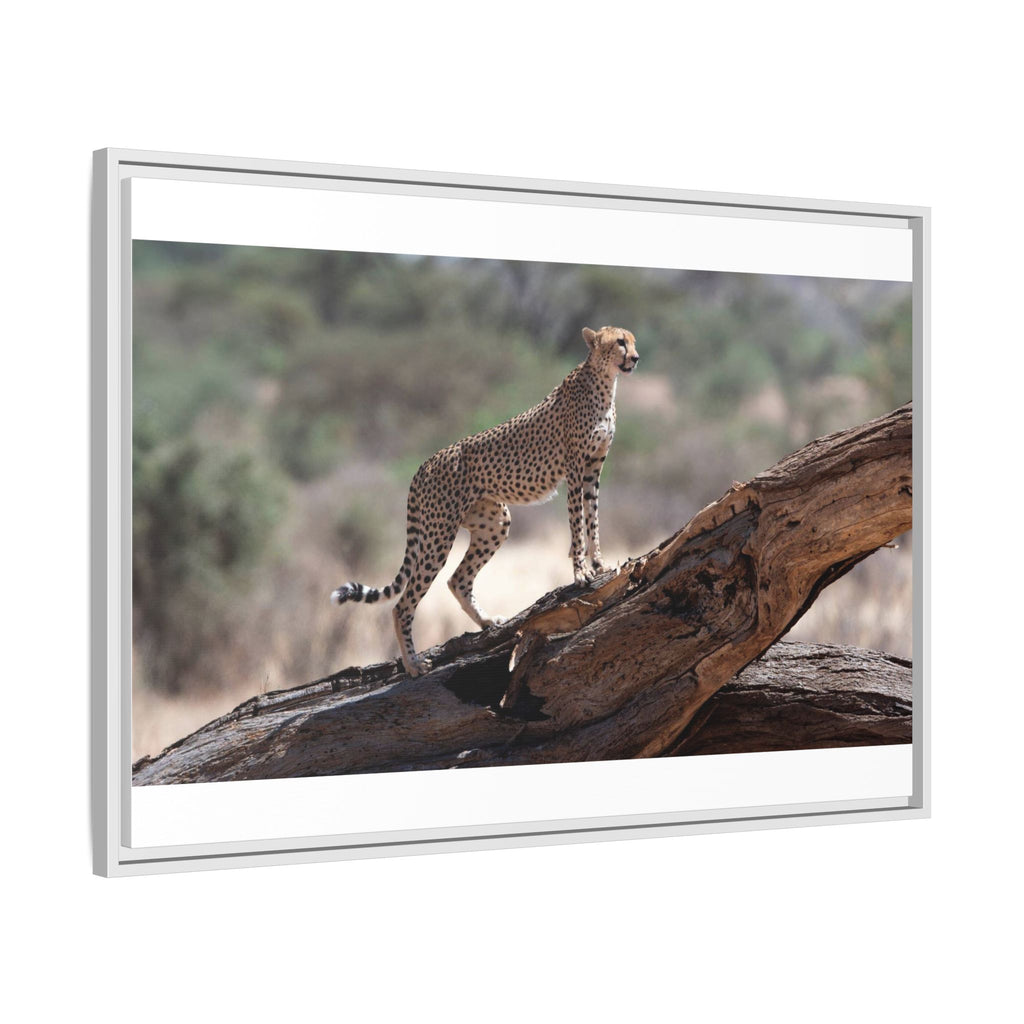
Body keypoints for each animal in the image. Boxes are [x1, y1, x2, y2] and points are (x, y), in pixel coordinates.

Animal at [331, 325, 640, 676]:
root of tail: (424, 464)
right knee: (403, 603)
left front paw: (600, 564)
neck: (604, 381)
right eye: (620, 342)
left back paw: (488, 622)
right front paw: (581, 572)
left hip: (494, 523)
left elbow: (593, 518)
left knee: (457, 580)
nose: (635, 358)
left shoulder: (593, 469)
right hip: (438, 535)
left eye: (632, 341)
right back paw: (413, 664)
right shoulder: (575, 469)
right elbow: (577, 523)